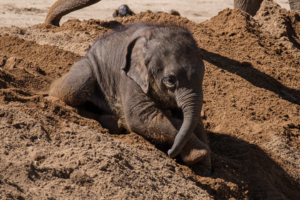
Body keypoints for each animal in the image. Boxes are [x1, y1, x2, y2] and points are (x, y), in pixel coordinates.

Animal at [49, 22, 211, 173]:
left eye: (203, 74)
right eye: (170, 80)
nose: (170, 153)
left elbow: (195, 121)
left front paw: (204, 165)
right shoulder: (128, 77)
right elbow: (141, 117)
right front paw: (199, 155)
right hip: (86, 69)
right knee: (75, 87)